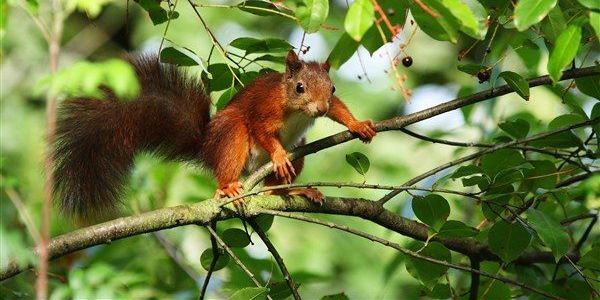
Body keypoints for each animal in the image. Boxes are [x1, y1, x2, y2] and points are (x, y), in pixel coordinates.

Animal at [54, 50, 378, 217]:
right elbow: (260, 128)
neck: (295, 108)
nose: (319, 108)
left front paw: (357, 124)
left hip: (299, 147)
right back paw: (229, 187)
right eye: (299, 88)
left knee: (271, 190)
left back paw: (295, 190)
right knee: (232, 157)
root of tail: (206, 147)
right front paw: (278, 154)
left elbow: (339, 109)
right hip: (231, 135)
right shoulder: (265, 109)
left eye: (332, 88)